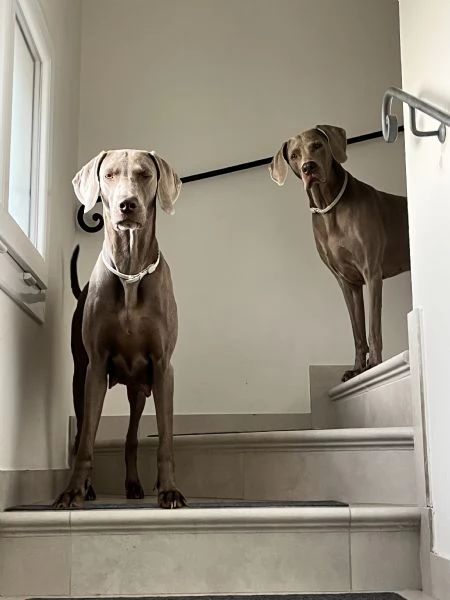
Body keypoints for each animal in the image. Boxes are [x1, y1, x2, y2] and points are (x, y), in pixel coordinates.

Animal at [53, 149, 185, 506]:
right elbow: (86, 439)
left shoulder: (163, 367)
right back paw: (89, 488)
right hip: (79, 378)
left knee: (131, 437)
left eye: (144, 174)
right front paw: (73, 491)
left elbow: (165, 439)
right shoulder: (95, 367)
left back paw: (134, 485)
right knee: (82, 431)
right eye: (109, 175)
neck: (130, 273)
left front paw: (169, 489)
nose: (128, 204)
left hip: (138, 387)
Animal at [268, 125, 410, 382]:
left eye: (317, 145)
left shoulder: (371, 272)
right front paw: (357, 368)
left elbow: (372, 328)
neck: (329, 207)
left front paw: (374, 364)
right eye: (294, 155)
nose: (308, 167)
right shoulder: (347, 282)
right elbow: (357, 331)